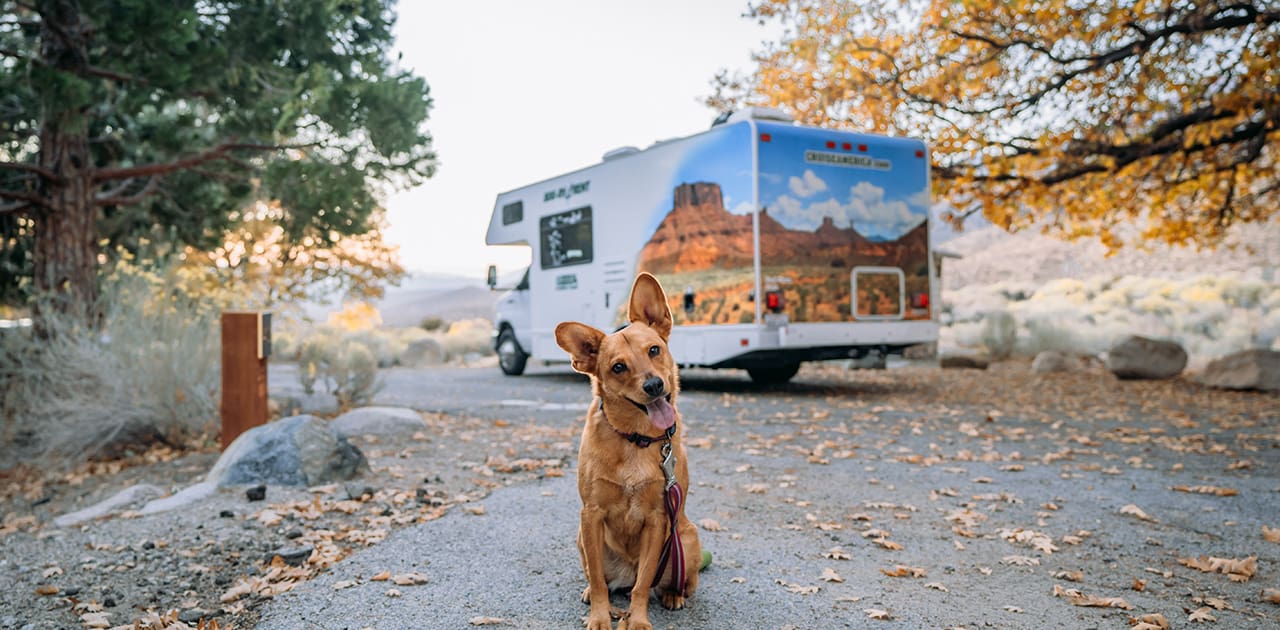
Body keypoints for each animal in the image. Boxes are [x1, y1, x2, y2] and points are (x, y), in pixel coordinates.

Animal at [558, 272, 706, 630]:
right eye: (618, 367)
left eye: (654, 350)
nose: (654, 386)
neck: (635, 440)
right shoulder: (591, 515)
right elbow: (599, 580)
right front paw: (600, 616)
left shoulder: (657, 520)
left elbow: (643, 585)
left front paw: (637, 620)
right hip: (581, 538)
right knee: (602, 579)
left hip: (687, 537)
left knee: (664, 582)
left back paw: (673, 594)